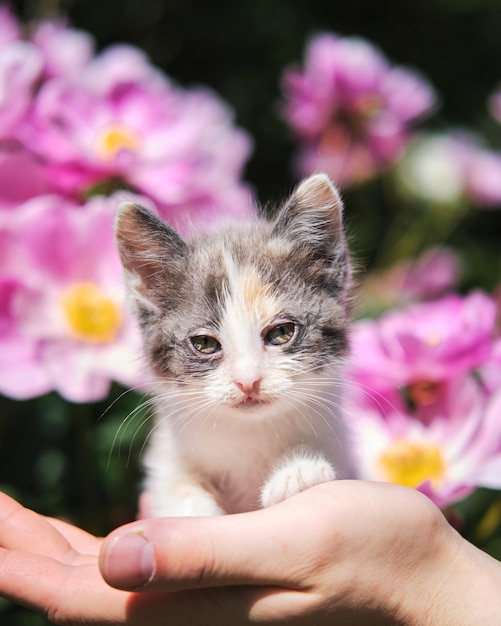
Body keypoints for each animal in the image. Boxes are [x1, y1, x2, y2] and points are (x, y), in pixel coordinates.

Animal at [115, 173, 354, 516]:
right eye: (204, 343)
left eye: (281, 332)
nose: (247, 382)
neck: (248, 432)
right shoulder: (166, 450)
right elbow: (174, 484)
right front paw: (193, 508)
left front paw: (299, 469)